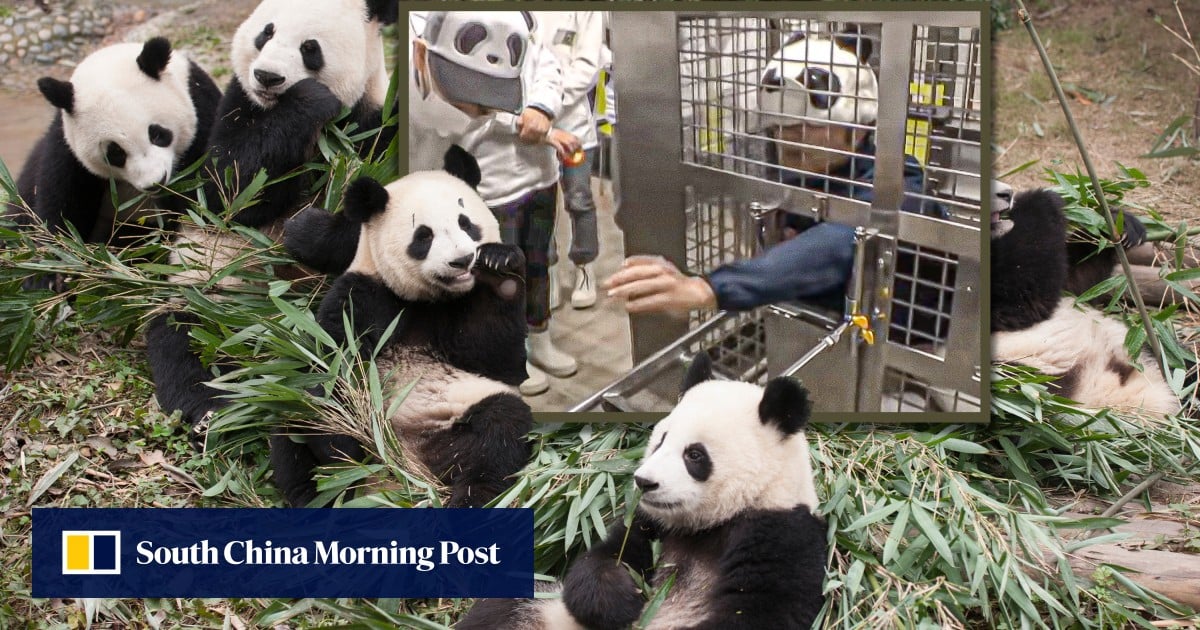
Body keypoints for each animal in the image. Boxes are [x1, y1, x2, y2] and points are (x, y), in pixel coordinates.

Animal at [9, 37, 221, 286]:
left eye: (158, 134)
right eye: (115, 153)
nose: (156, 182)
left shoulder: (202, 115)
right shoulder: (66, 145)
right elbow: (60, 200)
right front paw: (50, 273)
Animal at [145, 0, 398, 434]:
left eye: (310, 48)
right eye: (266, 32)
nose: (267, 76)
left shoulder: (378, 125)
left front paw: (308, 232)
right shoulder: (239, 102)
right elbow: (228, 188)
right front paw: (309, 100)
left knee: (351, 322)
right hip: (208, 288)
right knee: (185, 334)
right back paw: (212, 410)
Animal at [269, 145, 534, 508]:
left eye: (466, 224)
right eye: (424, 236)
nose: (462, 261)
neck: (428, 300)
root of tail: (406, 466)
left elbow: (499, 358)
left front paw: (499, 269)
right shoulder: (366, 293)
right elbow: (334, 361)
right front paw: (341, 441)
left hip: (458, 415)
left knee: (499, 429)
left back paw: (469, 497)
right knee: (292, 426)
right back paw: (324, 490)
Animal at [460, 353, 827, 630]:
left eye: (695, 455)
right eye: (661, 441)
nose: (645, 482)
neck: (710, 523)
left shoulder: (782, 534)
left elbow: (757, 613)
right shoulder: (651, 524)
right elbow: (603, 560)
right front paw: (624, 602)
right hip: (544, 610)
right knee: (501, 608)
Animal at [992, 188, 1181, 416]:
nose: (1006, 195)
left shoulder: (1074, 291)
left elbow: (1078, 281)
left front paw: (1120, 224)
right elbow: (1026, 294)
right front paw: (1039, 199)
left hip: (1141, 347)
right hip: (1032, 383)